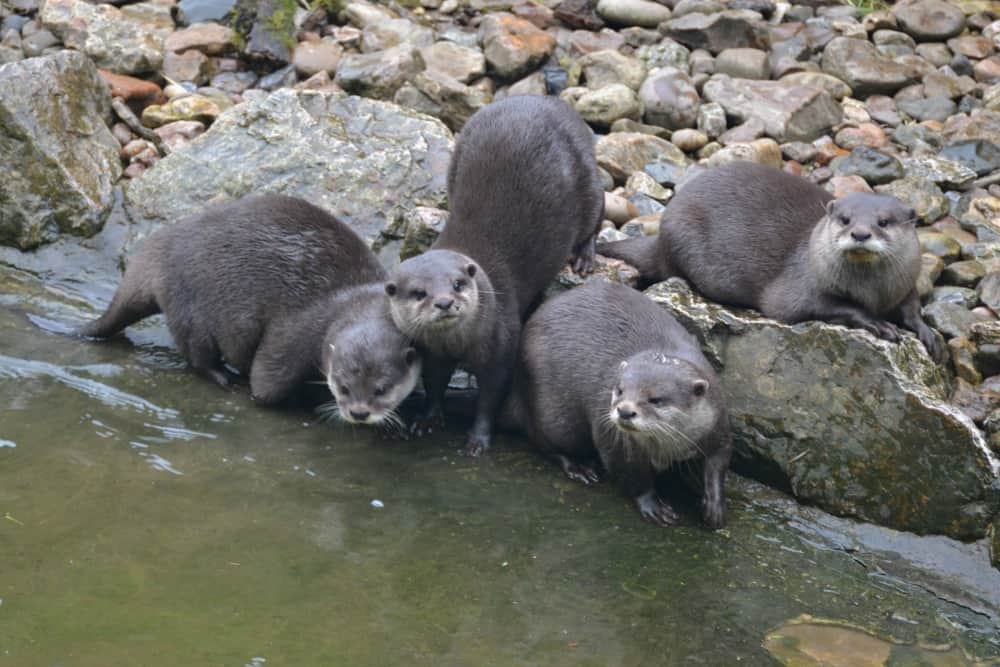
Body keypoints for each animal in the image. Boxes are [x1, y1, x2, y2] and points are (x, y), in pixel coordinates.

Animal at [78, 195, 419, 422]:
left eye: (381, 389)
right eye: (344, 387)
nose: (359, 413)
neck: (344, 300)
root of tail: (156, 251)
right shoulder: (294, 335)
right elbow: (265, 385)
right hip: (189, 304)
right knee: (197, 355)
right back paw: (223, 378)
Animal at [385, 96, 605, 456]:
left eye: (458, 284)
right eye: (419, 293)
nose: (445, 303)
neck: (458, 345)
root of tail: (547, 102)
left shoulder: (501, 344)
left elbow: (491, 396)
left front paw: (478, 439)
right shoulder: (432, 353)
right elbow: (434, 385)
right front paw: (427, 420)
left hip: (590, 180)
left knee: (596, 218)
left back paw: (584, 257)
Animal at [504, 282, 732, 528]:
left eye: (656, 399)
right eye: (620, 389)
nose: (624, 411)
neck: (669, 448)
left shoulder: (718, 421)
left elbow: (718, 462)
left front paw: (714, 506)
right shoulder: (614, 441)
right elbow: (632, 476)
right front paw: (653, 505)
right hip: (553, 414)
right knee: (543, 441)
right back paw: (579, 467)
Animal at [597, 162, 941, 360]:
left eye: (883, 222)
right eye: (845, 219)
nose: (860, 233)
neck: (873, 292)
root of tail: (662, 232)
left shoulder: (906, 281)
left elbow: (912, 307)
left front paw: (927, 333)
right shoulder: (801, 292)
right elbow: (834, 307)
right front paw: (878, 323)